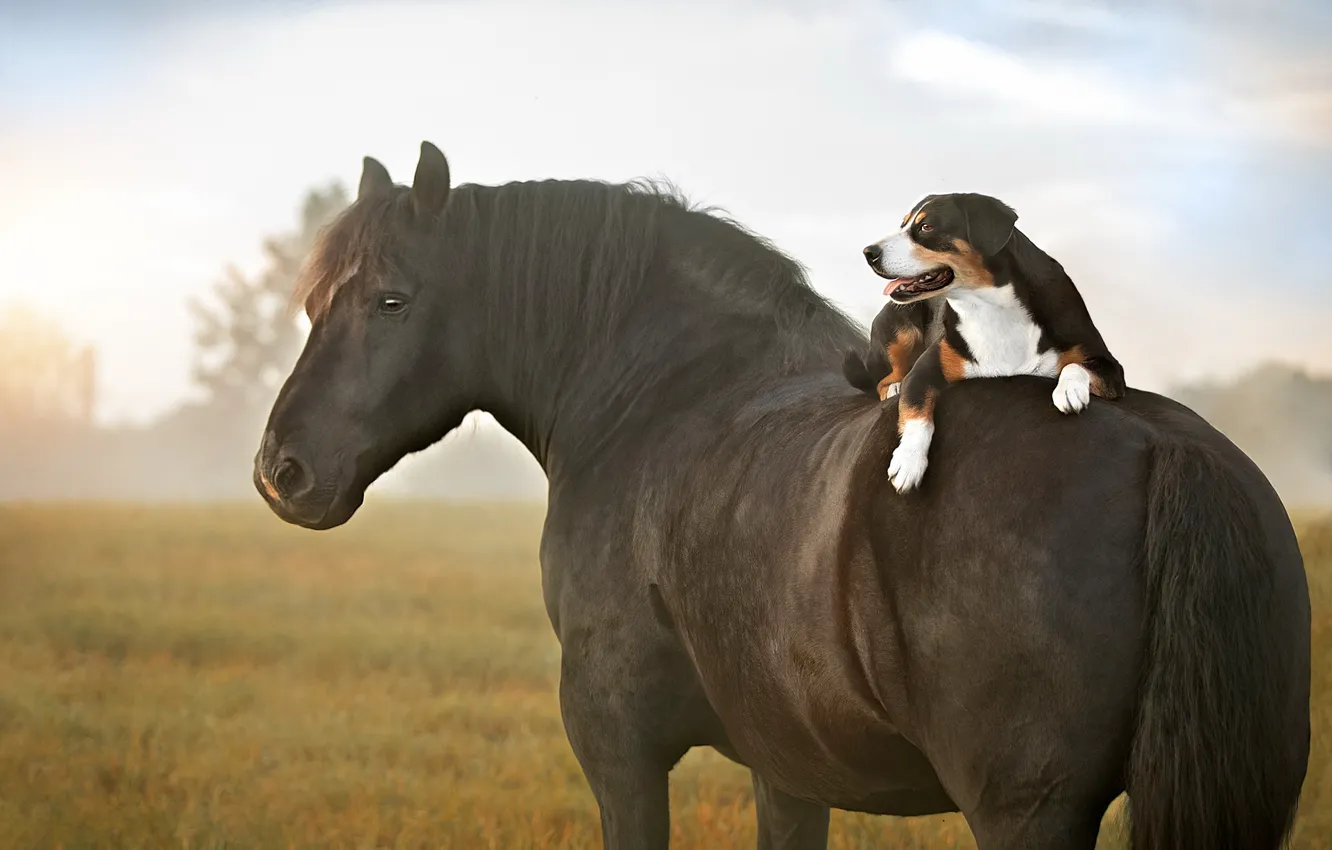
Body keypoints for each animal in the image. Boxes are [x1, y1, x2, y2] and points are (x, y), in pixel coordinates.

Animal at [254, 141, 1310, 849]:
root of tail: (1158, 447)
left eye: (391, 300)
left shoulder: (615, 743)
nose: (281, 471)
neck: (667, 393)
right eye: (313, 304)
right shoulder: (789, 764)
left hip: (1026, 812)